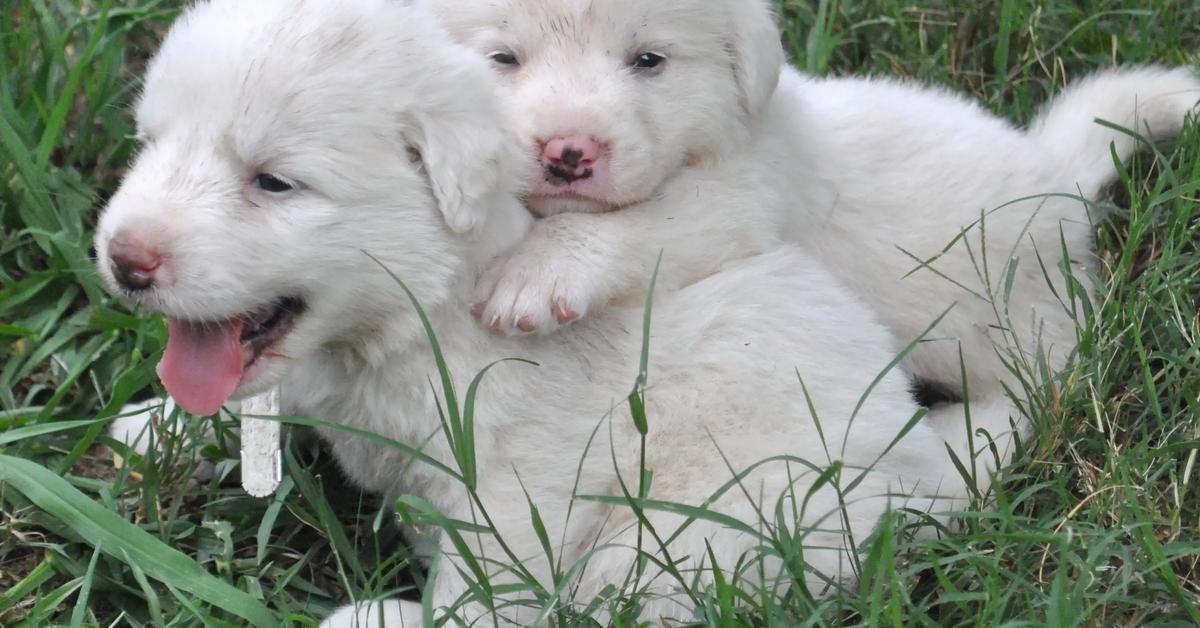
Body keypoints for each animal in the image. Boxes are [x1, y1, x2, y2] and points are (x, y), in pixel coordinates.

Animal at [96, 0, 1012, 624]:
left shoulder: (516, 477)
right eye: (149, 145)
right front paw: (157, 428)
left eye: (274, 182)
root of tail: (924, 475)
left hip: (713, 528)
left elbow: (486, 582)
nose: (125, 260)